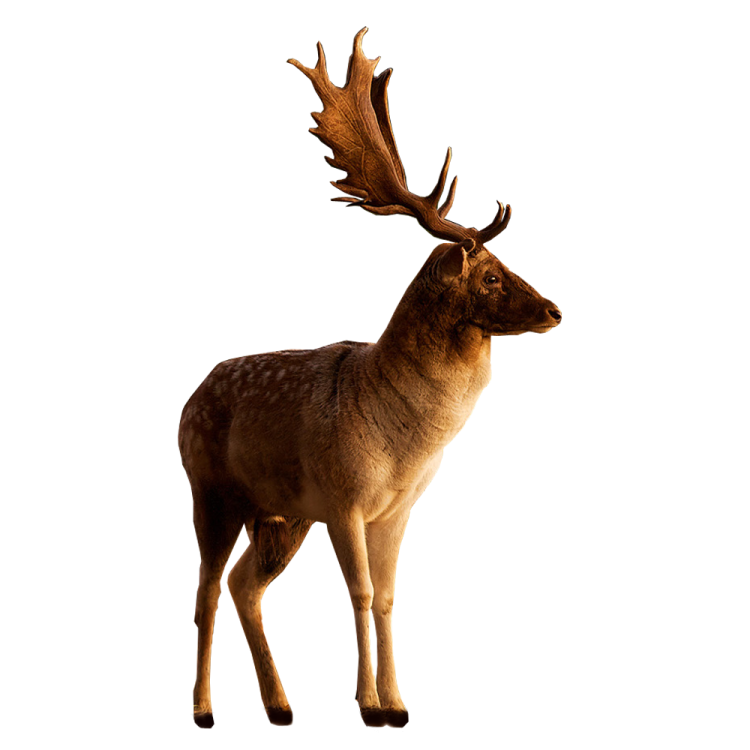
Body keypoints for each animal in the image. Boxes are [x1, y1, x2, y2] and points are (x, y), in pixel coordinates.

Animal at [180, 27, 561, 730]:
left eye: (506, 265)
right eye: (491, 275)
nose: (554, 311)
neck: (407, 442)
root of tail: (188, 401)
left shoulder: (398, 506)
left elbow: (386, 598)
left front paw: (399, 701)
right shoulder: (343, 497)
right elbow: (357, 594)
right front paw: (368, 705)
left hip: (281, 516)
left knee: (245, 584)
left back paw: (280, 705)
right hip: (211, 491)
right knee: (207, 588)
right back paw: (203, 708)